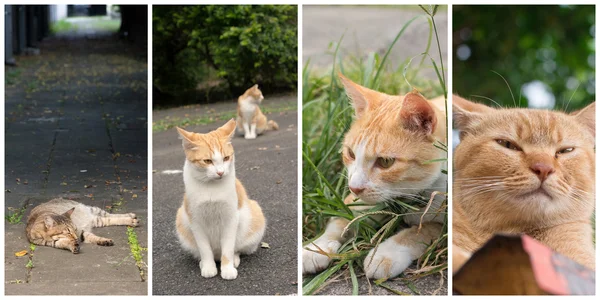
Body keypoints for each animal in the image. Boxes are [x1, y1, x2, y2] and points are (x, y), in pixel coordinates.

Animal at [175, 120, 266, 280]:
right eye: (207, 161)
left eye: (226, 158)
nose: (220, 172)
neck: (211, 188)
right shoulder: (196, 221)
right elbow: (204, 249)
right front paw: (208, 267)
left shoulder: (231, 218)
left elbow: (228, 249)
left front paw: (227, 269)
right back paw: (203, 263)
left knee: (236, 249)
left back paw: (234, 260)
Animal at [302, 74, 448, 278]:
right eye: (351, 153)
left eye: (385, 162)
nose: (354, 187)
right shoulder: (356, 203)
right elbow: (341, 220)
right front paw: (317, 247)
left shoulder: (444, 223)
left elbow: (419, 232)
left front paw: (385, 253)